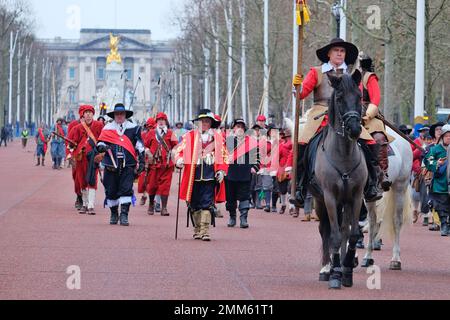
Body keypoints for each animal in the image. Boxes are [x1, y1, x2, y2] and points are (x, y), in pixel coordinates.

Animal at [310, 72, 370, 290]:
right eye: (340, 98)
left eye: (359, 97)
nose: (354, 129)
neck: (343, 155)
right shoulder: (330, 197)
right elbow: (333, 236)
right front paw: (335, 273)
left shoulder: (355, 197)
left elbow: (351, 235)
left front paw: (347, 269)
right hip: (320, 201)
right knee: (325, 230)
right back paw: (327, 269)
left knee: (344, 230)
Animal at [360, 127, 414, 270]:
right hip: (370, 199)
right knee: (372, 221)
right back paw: (368, 256)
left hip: (400, 186)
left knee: (397, 221)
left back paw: (395, 259)